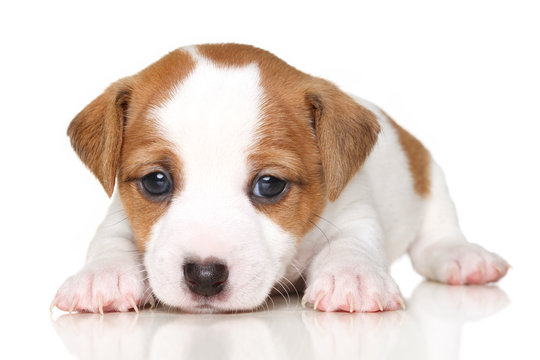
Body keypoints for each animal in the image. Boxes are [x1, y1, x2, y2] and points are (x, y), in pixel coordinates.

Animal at [49, 43, 506, 314]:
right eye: (156, 182)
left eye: (269, 185)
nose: (204, 276)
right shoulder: (118, 217)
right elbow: (109, 243)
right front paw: (100, 276)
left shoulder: (355, 212)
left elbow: (352, 244)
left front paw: (353, 277)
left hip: (428, 176)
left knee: (438, 232)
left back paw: (462, 257)